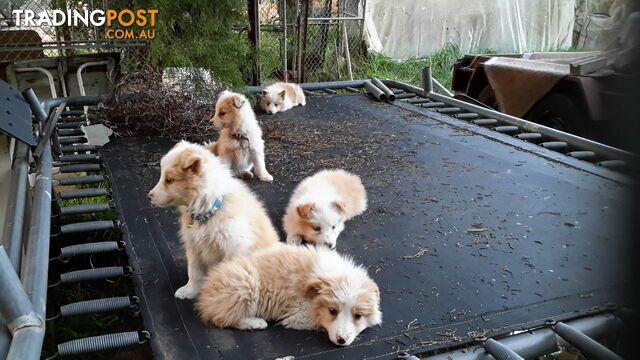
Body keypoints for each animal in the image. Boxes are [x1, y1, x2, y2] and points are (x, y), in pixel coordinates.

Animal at [151, 142, 282, 300]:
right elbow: (193, 271)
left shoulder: (233, 249)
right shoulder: (194, 246)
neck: (209, 210)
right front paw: (189, 290)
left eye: (169, 180)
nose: (149, 196)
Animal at [198, 245, 382, 346]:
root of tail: (204, 294)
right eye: (332, 311)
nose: (341, 340)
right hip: (245, 283)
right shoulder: (299, 313)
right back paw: (256, 323)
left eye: (358, 316)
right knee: (222, 318)